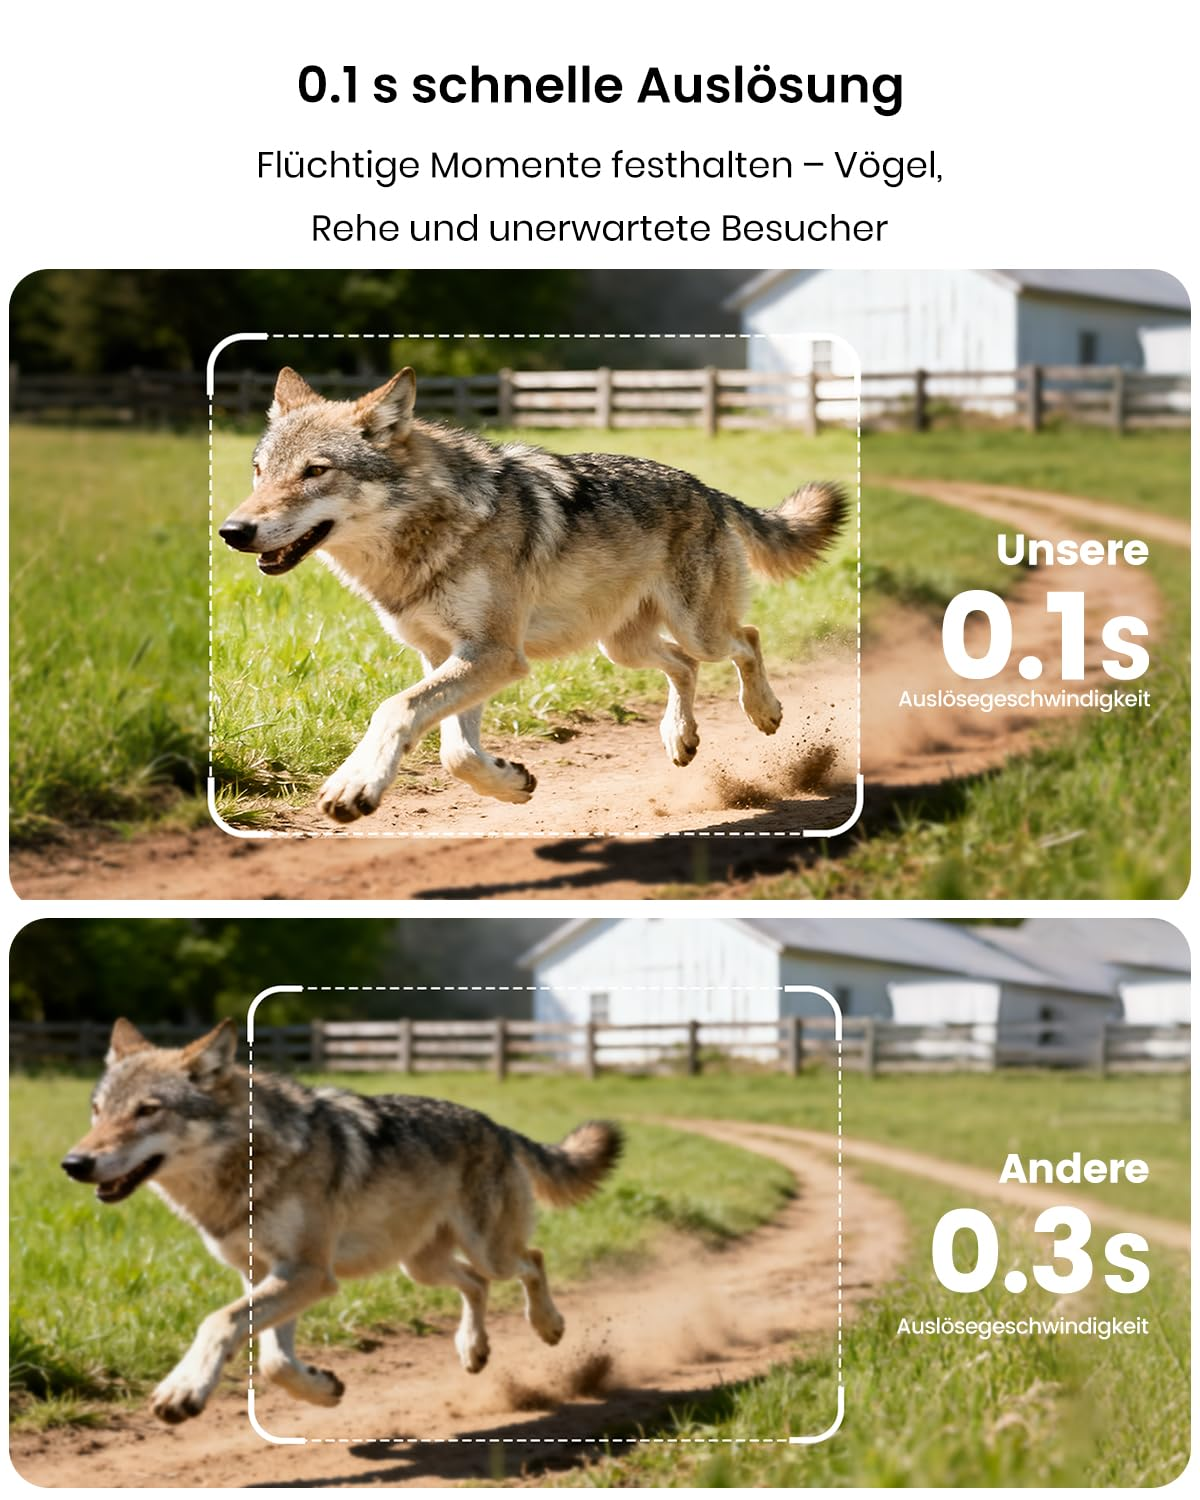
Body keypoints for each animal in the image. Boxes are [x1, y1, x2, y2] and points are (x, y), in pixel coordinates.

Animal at [61, 1018, 623, 1425]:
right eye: (97, 1110)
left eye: (147, 1110)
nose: (73, 1163)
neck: (248, 1167)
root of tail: (497, 1126)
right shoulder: (264, 1273)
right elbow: (273, 1360)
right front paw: (323, 1389)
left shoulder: (309, 1273)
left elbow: (218, 1322)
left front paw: (183, 1390)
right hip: (419, 1267)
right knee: (477, 1284)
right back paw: (473, 1348)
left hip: (487, 1249)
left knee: (532, 1260)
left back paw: (547, 1325)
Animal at [218, 367, 847, 822]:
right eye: (258, 470)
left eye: (314, 471)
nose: (232, 531)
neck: (429, 534)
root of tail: (707, 488)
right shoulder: (447, 656)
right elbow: (456, 752)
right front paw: (512, 783)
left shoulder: (495, 654)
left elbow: (396, 708)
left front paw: (354, 786)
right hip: (621, 648)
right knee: (685, 666)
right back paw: (680, 737)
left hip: (697, 628)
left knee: (746, 639)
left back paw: (763, 711)